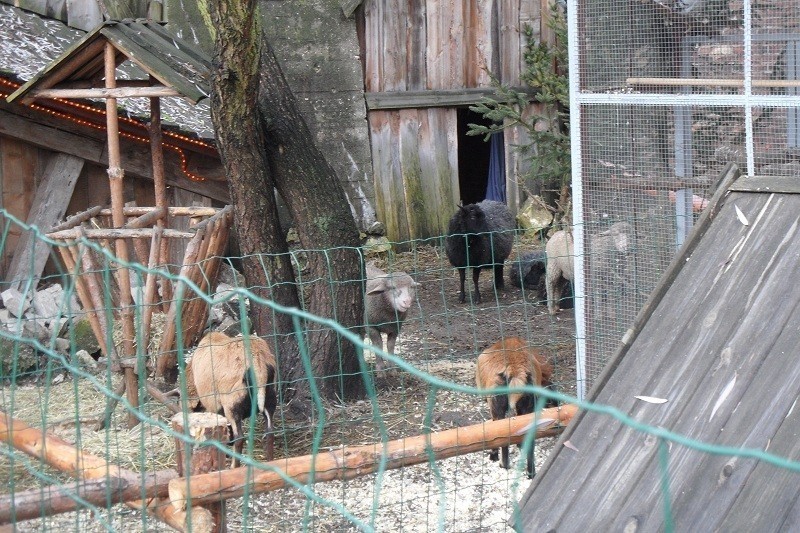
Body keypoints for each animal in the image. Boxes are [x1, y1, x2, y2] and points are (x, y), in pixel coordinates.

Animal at [190, 330, 278, 464]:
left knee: (240, 438)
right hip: (270, 398)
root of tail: (257, 362)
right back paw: (270, 461)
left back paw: (234, 464)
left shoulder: (214, 405)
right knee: (270, 431)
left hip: (232, 404)